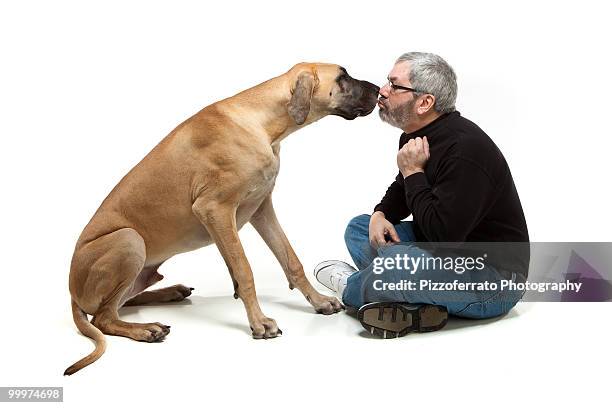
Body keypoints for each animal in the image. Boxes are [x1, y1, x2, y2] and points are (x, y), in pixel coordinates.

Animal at [65, 61, 378, 376]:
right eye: (342, 77)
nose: (378, 89)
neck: (261, 122)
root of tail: (71, 292)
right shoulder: (214, 209)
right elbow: (243, 270)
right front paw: (259, 322)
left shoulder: (261, 207)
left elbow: (291, 261)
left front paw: (319, 301)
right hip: (128, 239)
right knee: (103, 317)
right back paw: (146, 329)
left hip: (142, 267)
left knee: (120, 304)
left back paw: (170, 292)